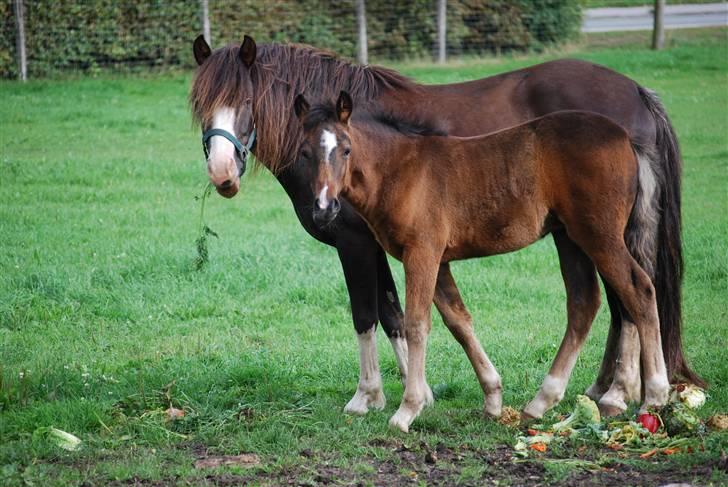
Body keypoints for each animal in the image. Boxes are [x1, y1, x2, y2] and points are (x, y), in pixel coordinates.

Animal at [292, 92, 668, 434]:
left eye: (346, 150)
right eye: (305, 153)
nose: (324, 209)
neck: (401, 170)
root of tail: (626, 137)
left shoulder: (422, 254)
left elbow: (417, 324)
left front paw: (407, 410)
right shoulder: (439, 260)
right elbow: (459, 321)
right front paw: (492, 398)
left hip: (599, 236)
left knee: (639, 290)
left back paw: (653, 396)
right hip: (570, 239)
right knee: (584, 303)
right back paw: (541, 402)